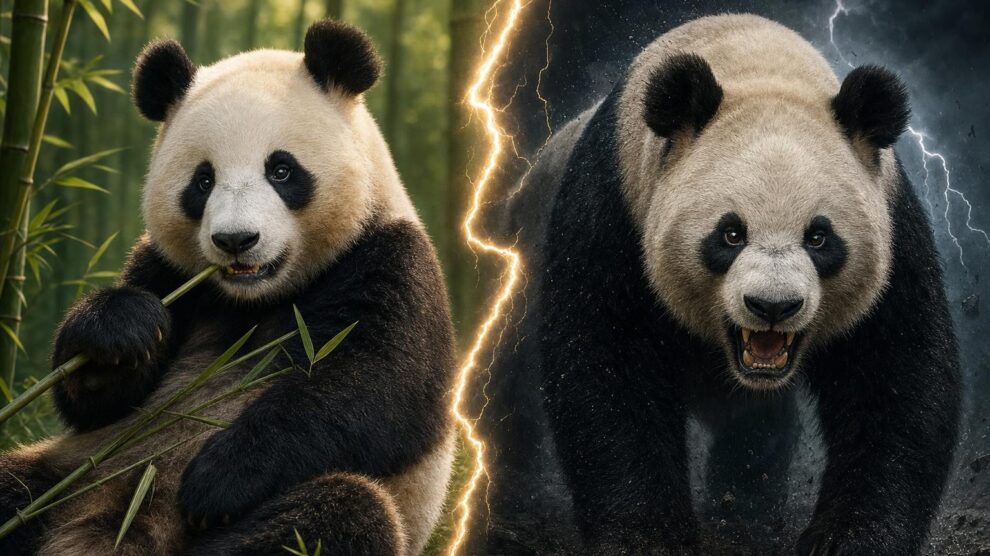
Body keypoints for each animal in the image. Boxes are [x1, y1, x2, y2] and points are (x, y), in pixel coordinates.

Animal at [0, 19, 455, 556]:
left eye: (281, 169)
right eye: (203, 181)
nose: (236, 240)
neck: (255, 299)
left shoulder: (390, 260)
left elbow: (378, 390)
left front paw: (219, 478)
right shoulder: (168, 271)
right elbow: (97, 402)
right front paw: (122, 330)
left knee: (340, 511)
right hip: (63, 477)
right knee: (17, 487)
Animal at [479, 14, 961, 555]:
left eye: (819, 237)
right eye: (731, 233)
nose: (773, 305)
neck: (756, 67)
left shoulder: (893, 226)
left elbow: (896, 374)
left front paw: (850, 537)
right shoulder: (615, 208)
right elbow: (606, 363)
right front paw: (647, 537)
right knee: (508, 366)